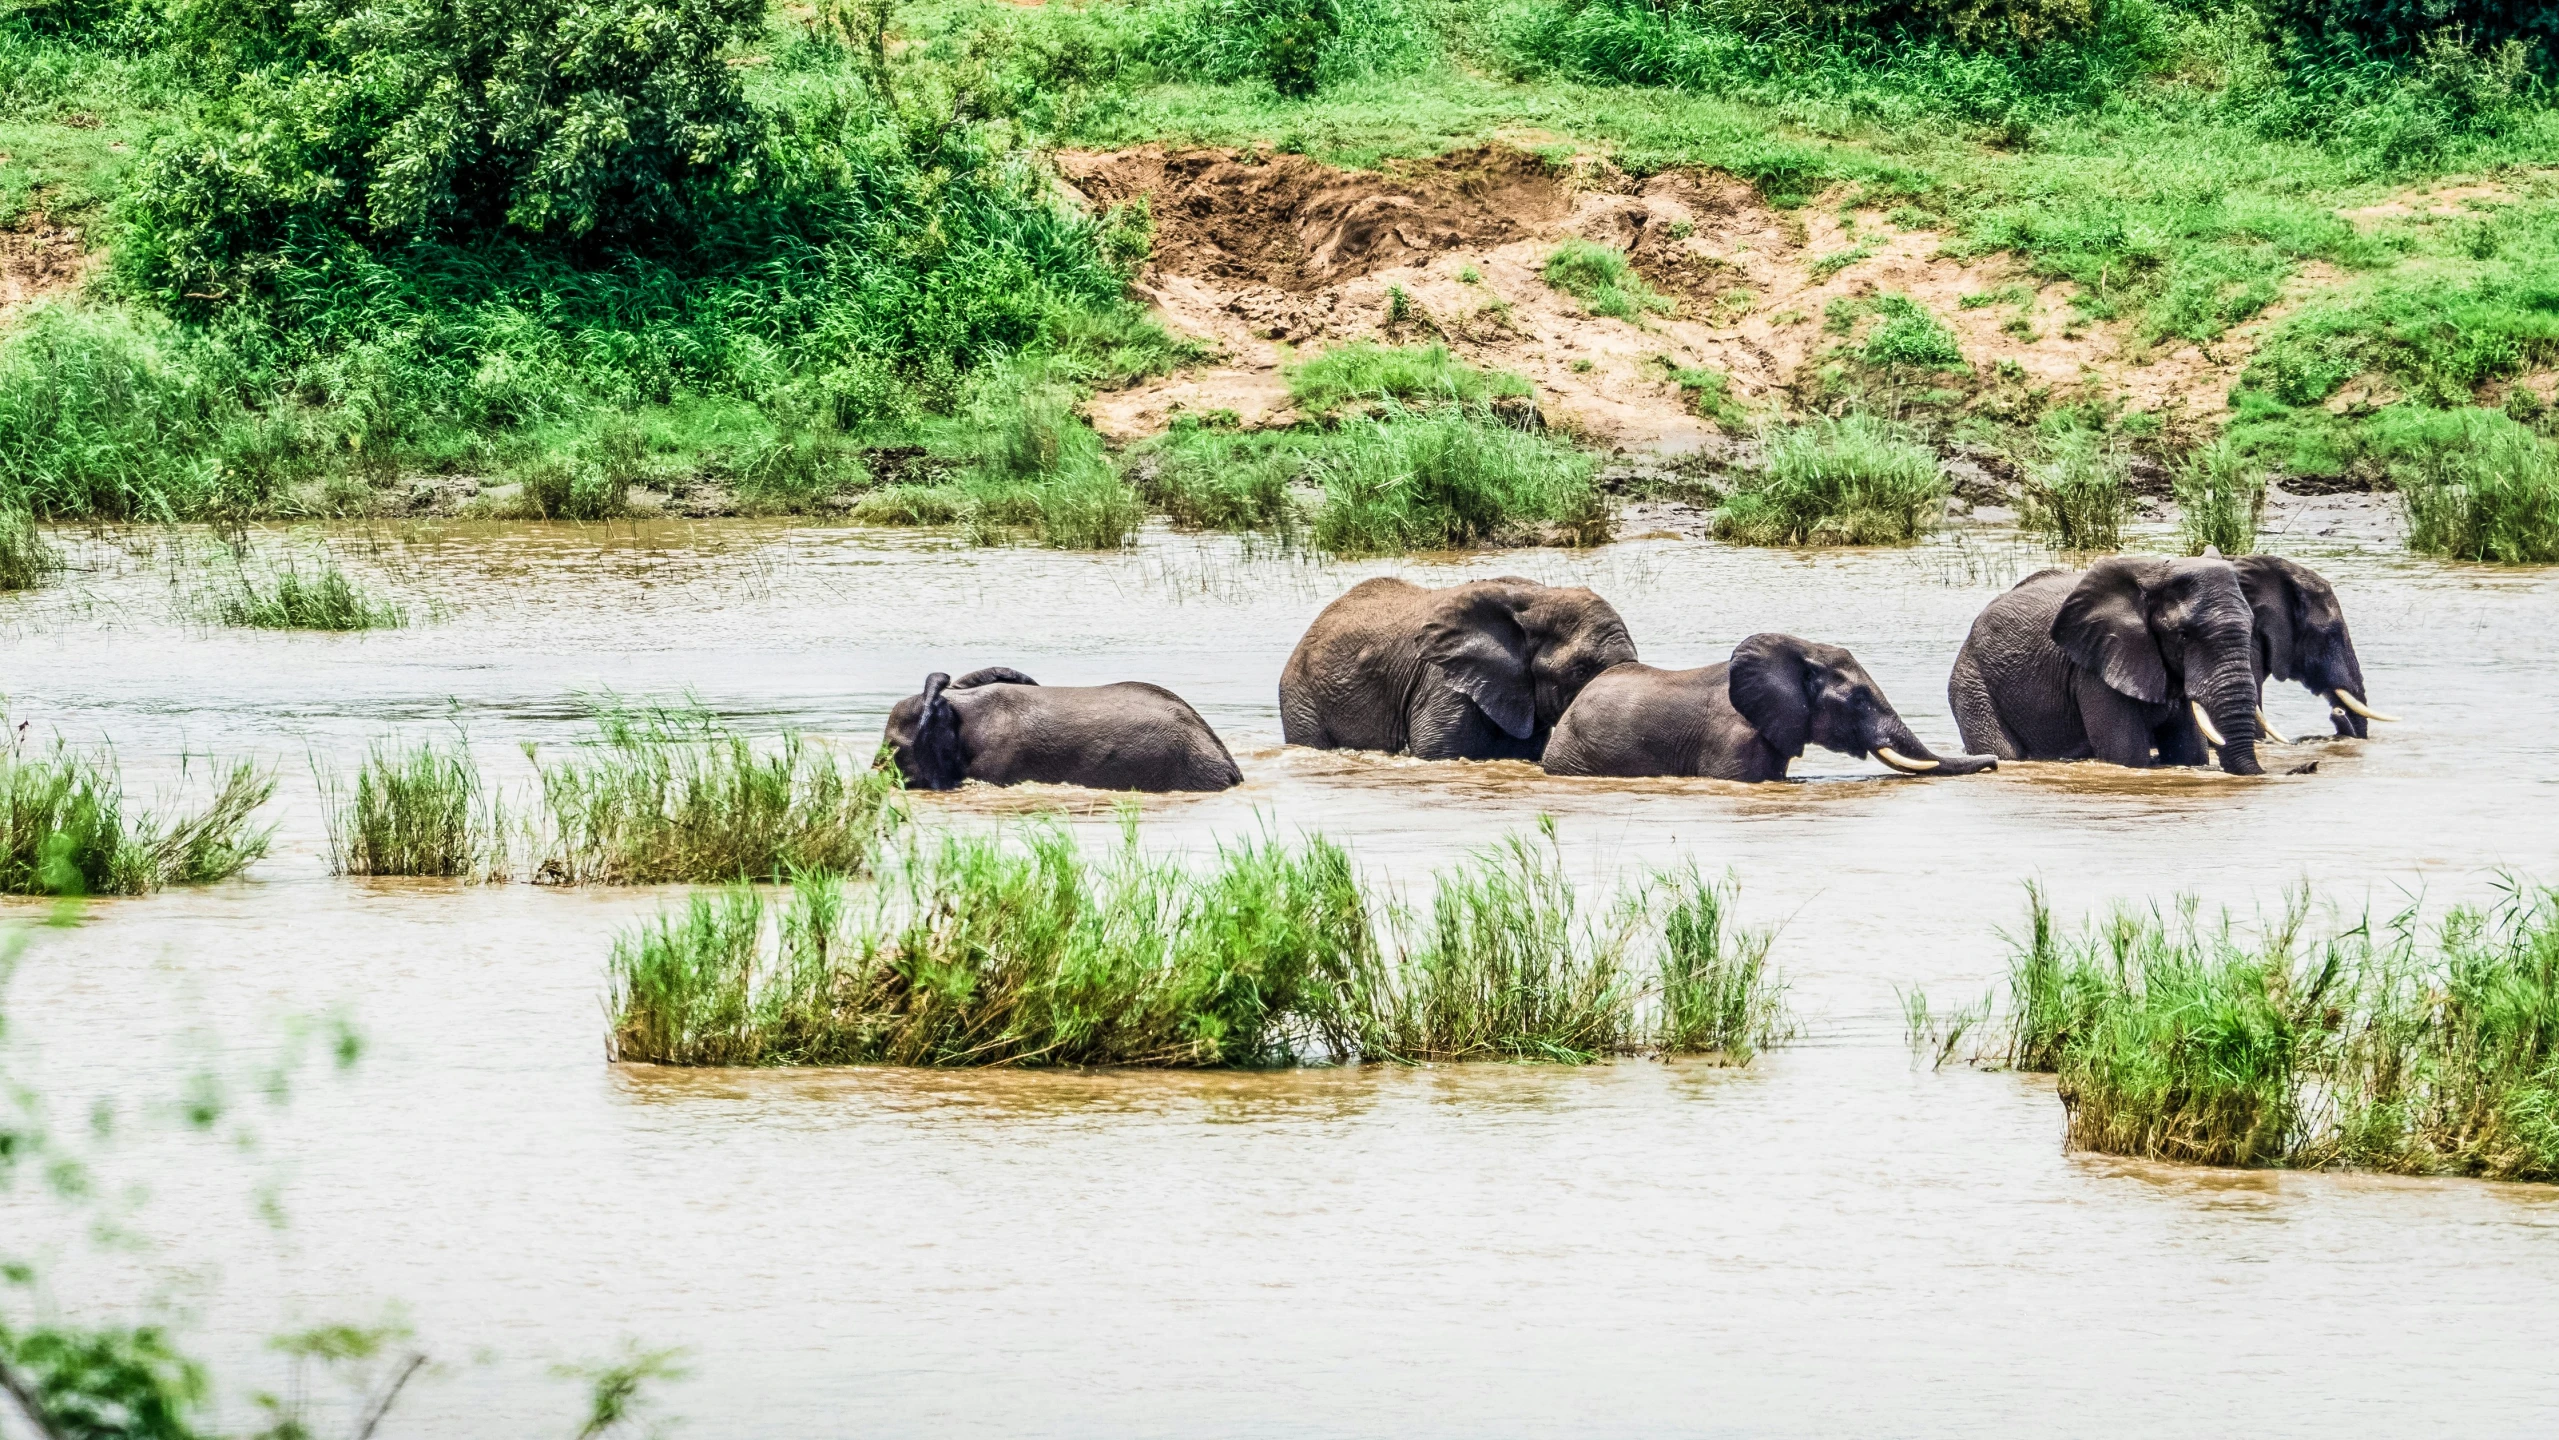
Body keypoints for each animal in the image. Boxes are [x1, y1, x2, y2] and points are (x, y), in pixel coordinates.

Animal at [1944, 552, 2313, 777]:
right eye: (2182, 635)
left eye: (2252, 626)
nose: (2307, 766)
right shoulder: (2095, 669)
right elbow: (2127, 756)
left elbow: (2189, 752)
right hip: (1972, 681)